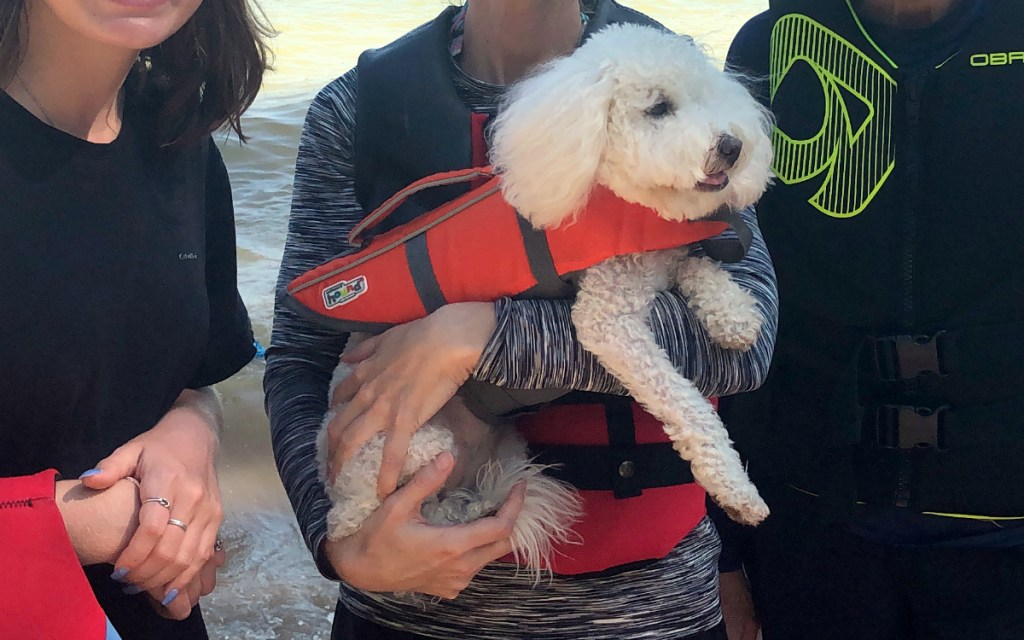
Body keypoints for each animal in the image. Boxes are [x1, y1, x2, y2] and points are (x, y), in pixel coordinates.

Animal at [315, 22, 770, 577]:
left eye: (707, 98)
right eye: (659, 108)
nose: (732, 145)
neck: (611, 193)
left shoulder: (659, 260)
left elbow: (698, 265)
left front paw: (735, 315)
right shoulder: (606, 320)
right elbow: (687, 406)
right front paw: (736, 489)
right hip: (379, 447)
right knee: (363, 502)